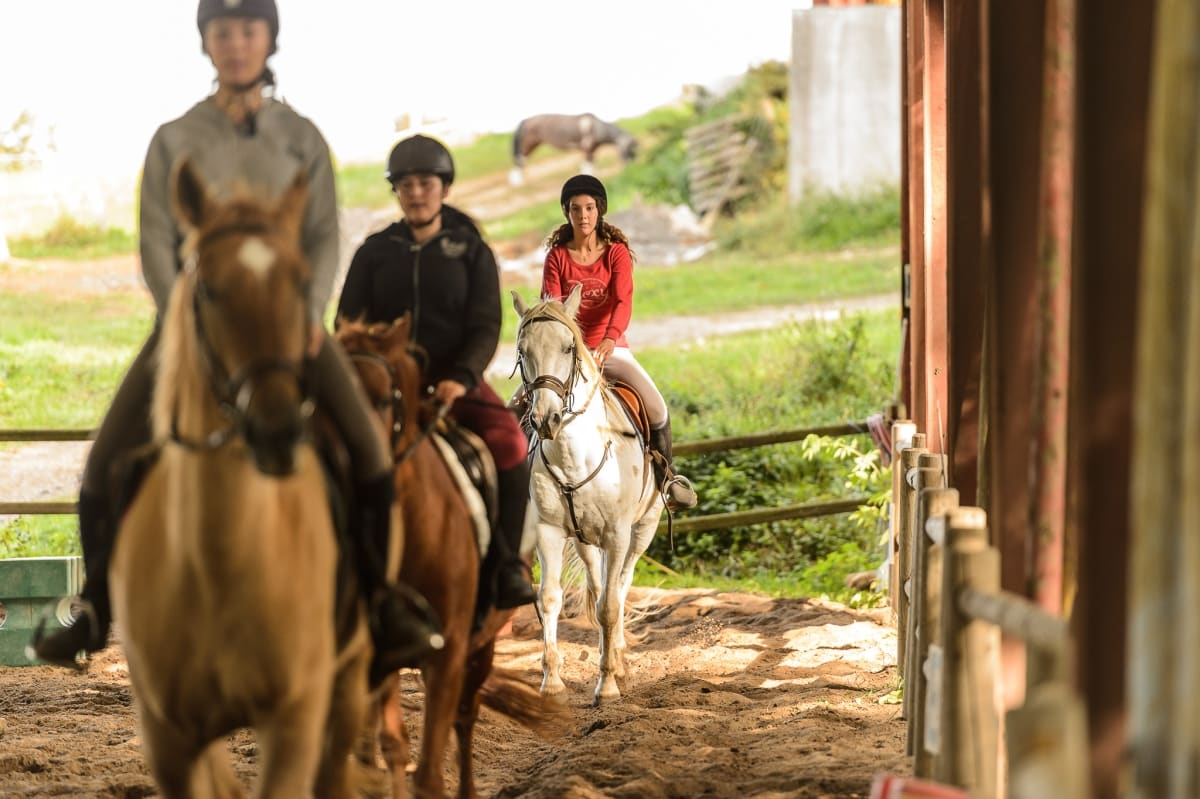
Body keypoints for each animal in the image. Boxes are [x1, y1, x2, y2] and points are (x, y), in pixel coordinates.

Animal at [108, 158, 369, 791]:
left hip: (350, 678)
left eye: (301, 281)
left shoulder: (294, 719)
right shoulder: (170, 739)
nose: (276, 430)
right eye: (206, 288)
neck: (218, 561)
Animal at [506, 110, 638, 184]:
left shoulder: (592, 150)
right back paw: (517, 181)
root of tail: (525, 120)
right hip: (529, 144)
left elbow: (589, 165)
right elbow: (588, 166)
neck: (596, 127)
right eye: (629, 151)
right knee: (519, 159)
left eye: (634, 153)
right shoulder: (587, 149)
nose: (631, 168)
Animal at [506, 284, 662, 705]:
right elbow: (549, 599)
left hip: (642, 530)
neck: (575, 455)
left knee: (620, 587)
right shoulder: (548, 532)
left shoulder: (618, 534)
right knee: (597, 583)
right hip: (586, 540)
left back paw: (619, 661)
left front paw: (606, 685)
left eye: (567, 348)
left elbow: (610, 605)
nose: (546, 419)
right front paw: (551, 682)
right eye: (522, 350)